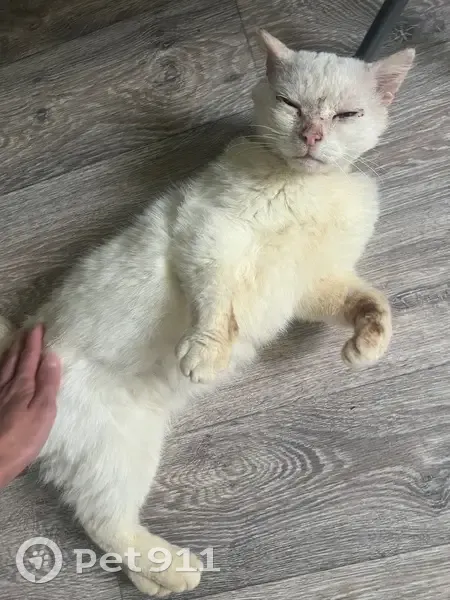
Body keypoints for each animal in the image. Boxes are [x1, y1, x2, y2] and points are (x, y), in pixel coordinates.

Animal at [0, 30, 414, 596]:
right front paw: (206, 355)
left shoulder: (313, 285)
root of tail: (24, 339)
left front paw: (368, 341)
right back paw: (177, 570)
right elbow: (219, 303)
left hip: (120, 453)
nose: (310, 135)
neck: (307, 187)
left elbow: (367, 300)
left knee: (103, 520)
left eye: (347, 114)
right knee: (104, 523)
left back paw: (161, 575)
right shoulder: (210, 235)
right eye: (290, 104)